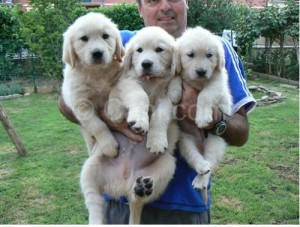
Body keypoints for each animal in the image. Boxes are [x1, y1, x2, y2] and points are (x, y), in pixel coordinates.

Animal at [61, 12, 125, 156]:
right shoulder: (81, 104)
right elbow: (97, 125)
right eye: (84, 38)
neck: (97, 73)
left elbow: (116, 90)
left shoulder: (120, 76)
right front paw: (109, 146)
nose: (97, 53)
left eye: (105, 36)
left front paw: (114, 111)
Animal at [79, 26, 180, 223]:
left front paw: (156, 140)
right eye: (139, 50)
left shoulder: (167, 95)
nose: (146, 64)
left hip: (167, 165)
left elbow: (161, 115)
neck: (151, 81)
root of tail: (121, 184)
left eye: (159, 50)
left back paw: (141, 190)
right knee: (94, 202)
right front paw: (137, 120)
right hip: (90, 169)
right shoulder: (128, 82)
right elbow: (140, 96)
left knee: (137, 200)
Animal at [177, 26, 233, 202]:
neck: (198, 82)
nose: (201, 71)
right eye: (190, 55)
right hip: (185, 141)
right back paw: (201, 167)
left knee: (210, 160)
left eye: (210, 55)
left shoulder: (217, 81)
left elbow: (204, 95)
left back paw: (201, 179)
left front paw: (202, 118)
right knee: (194, 157)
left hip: (215, 141)